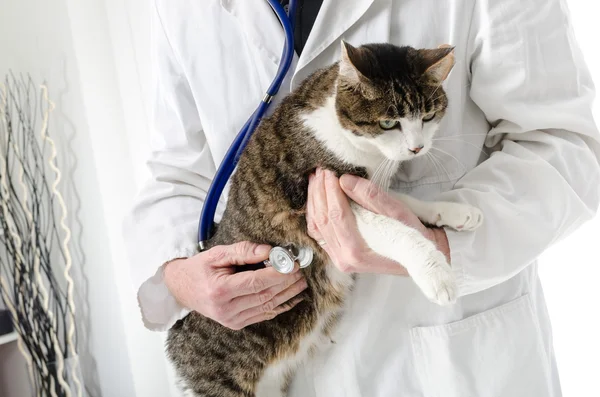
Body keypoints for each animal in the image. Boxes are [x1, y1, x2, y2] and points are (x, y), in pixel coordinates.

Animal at [166, 41, 486, 394]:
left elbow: (401, 202)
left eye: (428, 117)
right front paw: (437, 275)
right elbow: (395, 231)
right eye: (389, 123)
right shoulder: (320, 196)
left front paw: (457, 212)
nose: (417, 148)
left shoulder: (366, 185)